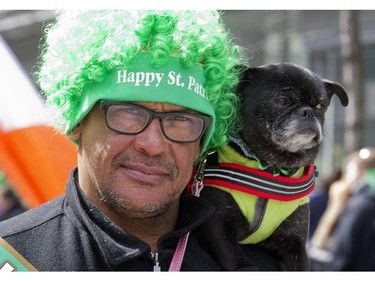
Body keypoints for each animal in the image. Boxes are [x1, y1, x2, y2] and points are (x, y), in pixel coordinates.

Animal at [198, 63, 352, 270]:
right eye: (281, 100)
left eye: (321, 106)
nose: (308, 111)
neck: (272, 167)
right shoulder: (218, 227)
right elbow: (241, 264)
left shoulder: (295, 243)